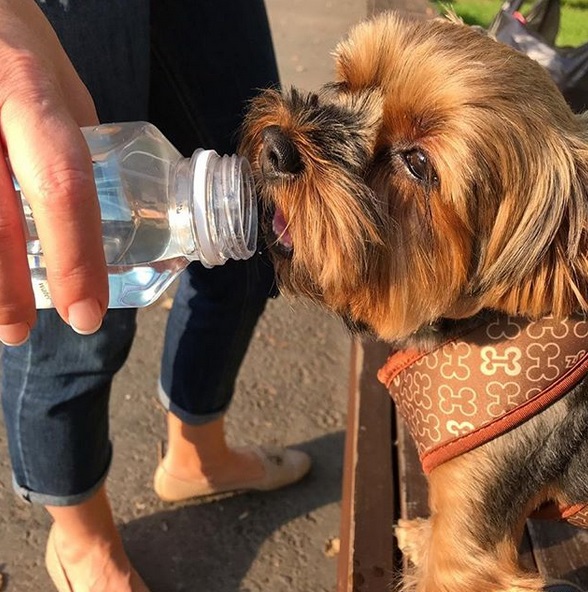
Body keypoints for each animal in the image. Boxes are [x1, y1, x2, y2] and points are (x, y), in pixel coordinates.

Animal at [241, 9, 588, 592]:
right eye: (347, 83)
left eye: (419, 163)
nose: (274, 144)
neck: (472, 325)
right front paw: (419, 537)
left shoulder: (472, 544)